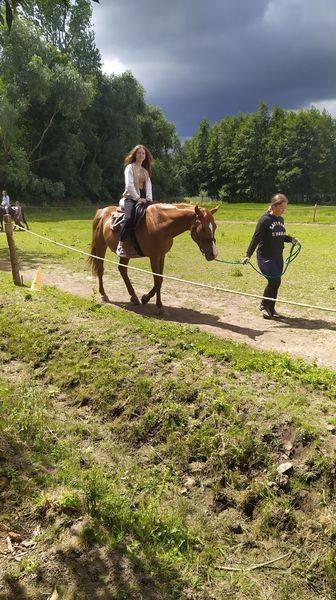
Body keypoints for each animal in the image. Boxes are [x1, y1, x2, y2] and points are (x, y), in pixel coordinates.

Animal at [88, 203, 218, 312]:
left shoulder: (161, 256)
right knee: (100, 269)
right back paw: (103, 294)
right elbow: (157, 280)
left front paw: (149, 300)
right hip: (101, 246)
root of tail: (101, 211)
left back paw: (134, 297)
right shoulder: (154, 257)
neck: (160, 223)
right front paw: (154, 303)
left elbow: (160, 279)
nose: (214, 254)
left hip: (125, 253)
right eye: (203, 228)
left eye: (215, 226)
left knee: (122, 269)